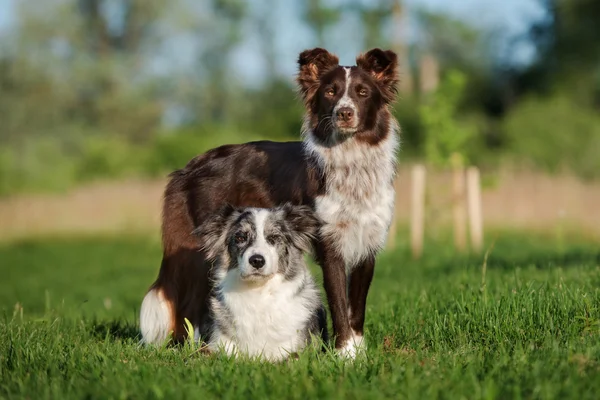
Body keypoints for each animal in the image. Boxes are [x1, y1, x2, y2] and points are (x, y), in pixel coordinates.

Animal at [193, 205, 328, 360]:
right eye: (240, 237)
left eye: (274, 237)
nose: (257, 260)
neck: (259, 291)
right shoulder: (219, 343)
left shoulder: (295, 347)